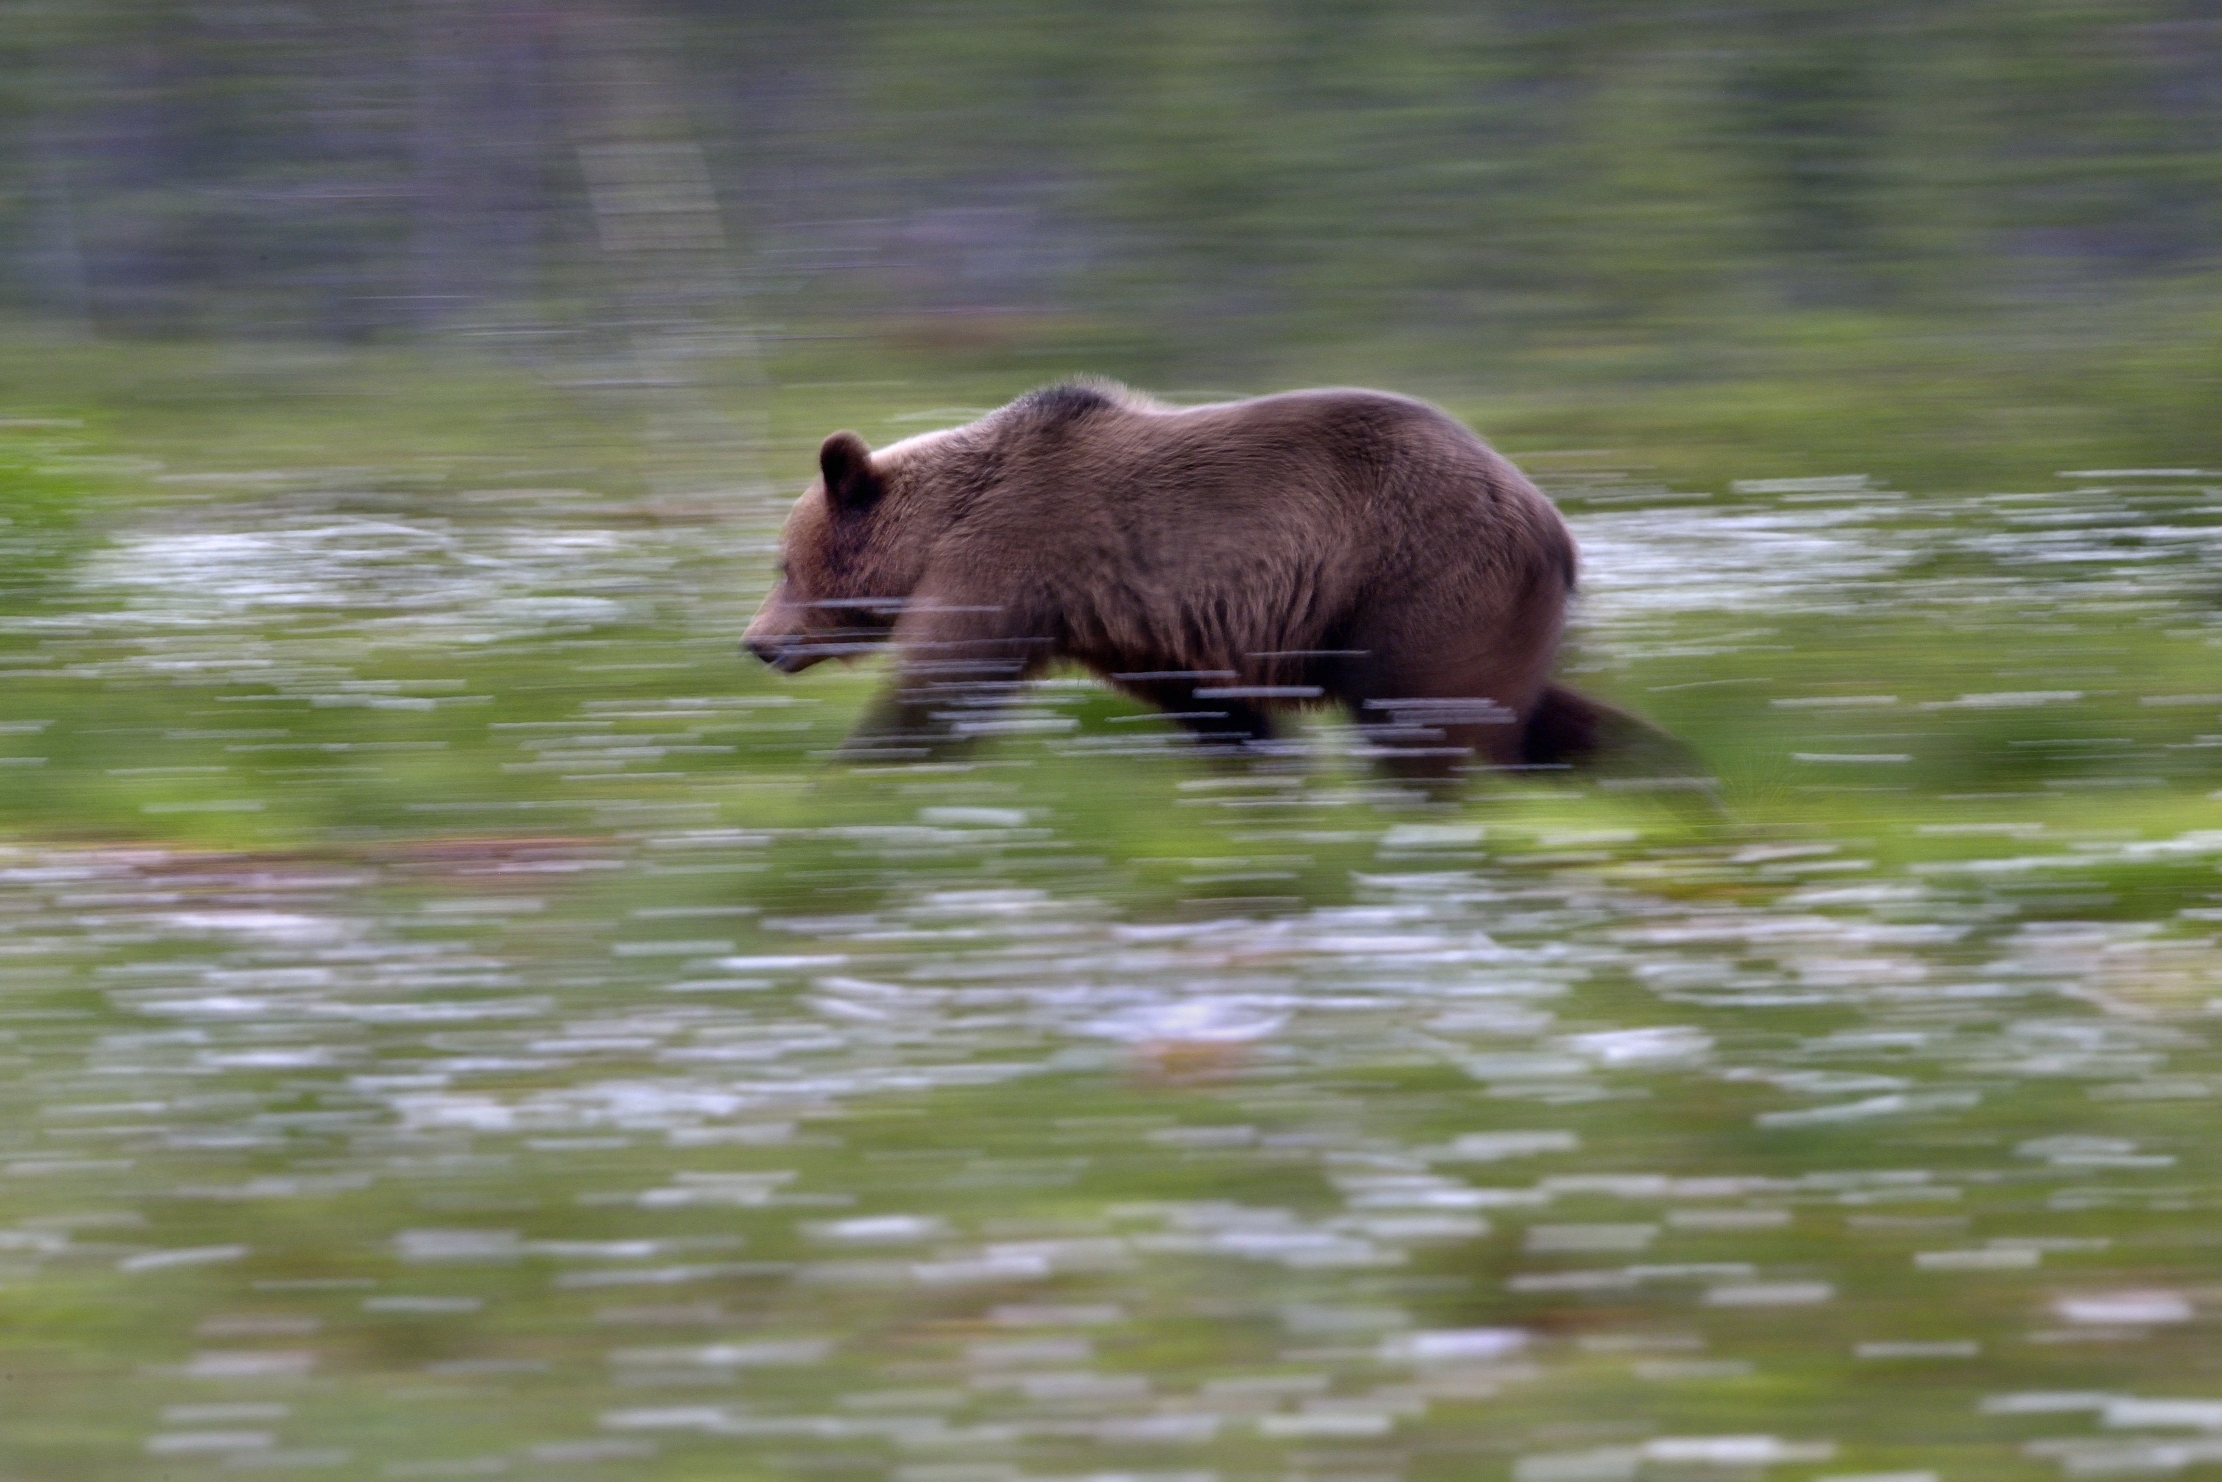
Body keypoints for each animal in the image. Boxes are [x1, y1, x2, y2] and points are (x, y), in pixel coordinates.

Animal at [743, 380, 1667, 782]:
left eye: (784, 563)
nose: (754, 642)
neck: (936, 528)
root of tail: (1550, 520)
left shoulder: (1008, 559)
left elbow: (938, 687)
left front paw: (850, 772)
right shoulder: (1129, 625)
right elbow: (1213, 705)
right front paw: (1265, 767)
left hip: (1422, 576)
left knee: (1430, 719)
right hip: (1478, 608)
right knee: (1539, 709)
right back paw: (1660, 770)